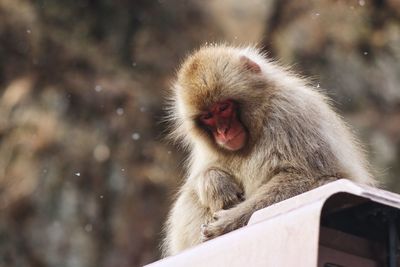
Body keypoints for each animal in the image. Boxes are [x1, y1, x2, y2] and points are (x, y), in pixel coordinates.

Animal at [162, 44, 376, 258]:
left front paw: (227, 221)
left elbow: (306, 175)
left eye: (223, 107)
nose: (223, 132)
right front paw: (214, 183)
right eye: (207, 116)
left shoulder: (289, 111)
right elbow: (203, 174)